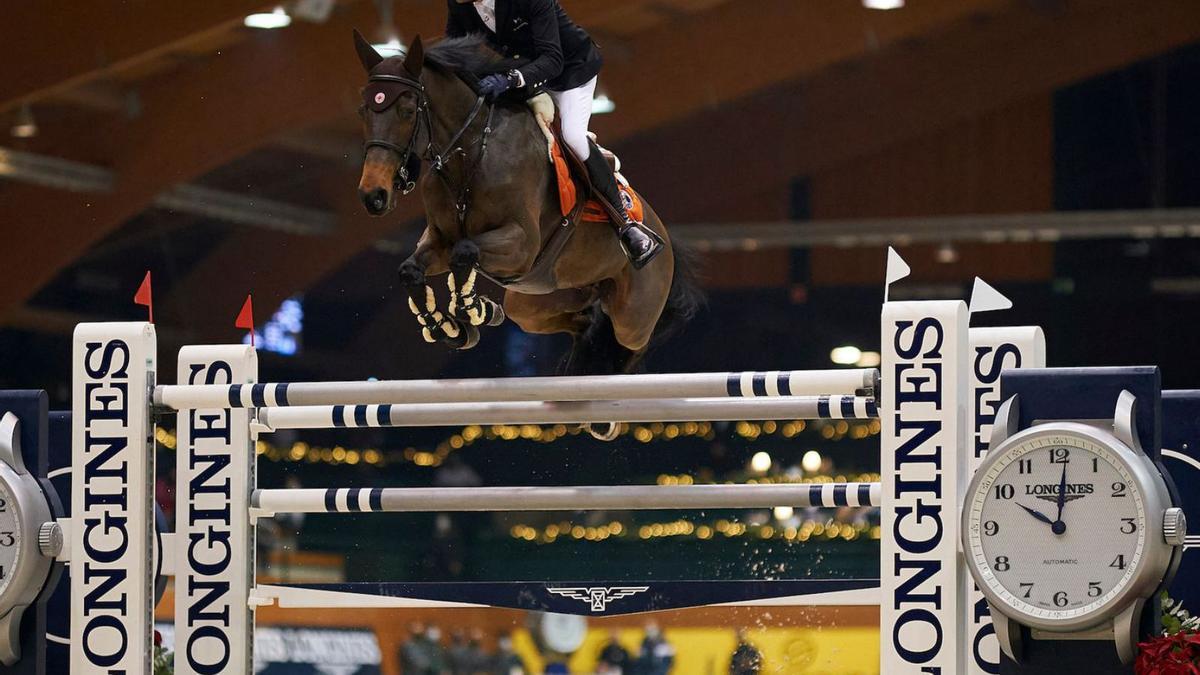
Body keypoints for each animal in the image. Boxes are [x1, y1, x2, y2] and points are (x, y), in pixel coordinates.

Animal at [350, 32, 700, 379]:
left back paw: (636, 244)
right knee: (584, 322)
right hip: (535, 302)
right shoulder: (440, 239)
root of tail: (664, 235)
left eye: (408, 110)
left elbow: (464, 252)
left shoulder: (522, 243)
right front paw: (450, 326)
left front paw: (472, 310)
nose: (373, 195)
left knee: (628, 341)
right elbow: (412, 270)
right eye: (363, 110)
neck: (473, 154)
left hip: (633, 317)